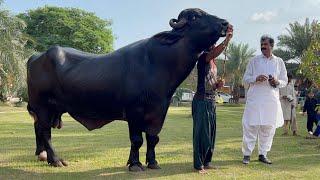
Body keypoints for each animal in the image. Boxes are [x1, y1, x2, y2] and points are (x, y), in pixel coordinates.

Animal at [26, 8, 228, 171]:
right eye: (195, 17)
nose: (225, 23)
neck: (158, 63)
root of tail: (36, 57)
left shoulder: (159, 111)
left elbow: (153, 138)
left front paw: (152, 162)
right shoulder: (134, 111)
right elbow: (137, 139)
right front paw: (135, 164)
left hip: (54, 108)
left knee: (38, 127)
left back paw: (42, 155)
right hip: (42, 106)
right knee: (45, 131)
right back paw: (55, 160)